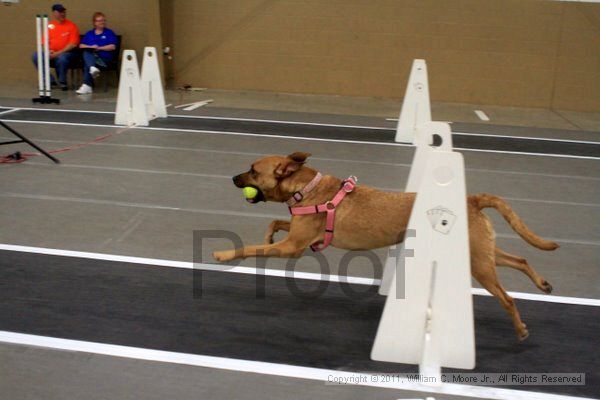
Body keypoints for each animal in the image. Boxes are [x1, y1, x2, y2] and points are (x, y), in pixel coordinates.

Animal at [213, 152, 560, 340]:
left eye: (253, 170)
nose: (232, 178)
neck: (306, 187)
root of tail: (471, 199)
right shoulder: (296, 237)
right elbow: (274, 225)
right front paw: (267, 233)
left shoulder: (294, 247)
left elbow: (249, 249)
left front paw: (224, 254)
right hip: (482, 254)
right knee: (519, 259)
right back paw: (542, 283)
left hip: (478, 264)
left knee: (508, 297)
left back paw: (520, 328)